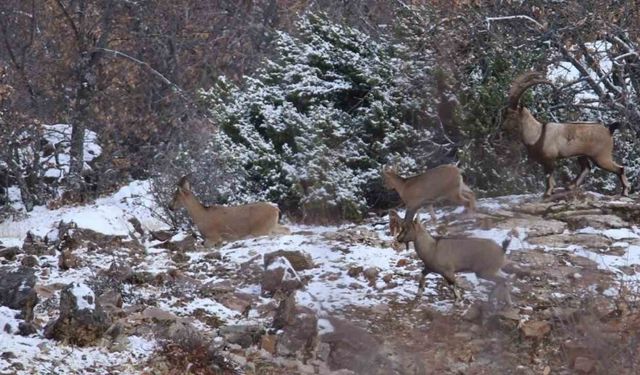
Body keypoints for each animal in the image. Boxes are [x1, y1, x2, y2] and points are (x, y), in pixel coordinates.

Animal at [504, 71, 632, 198]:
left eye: (513, 115)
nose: (504, 127)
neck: (537, 133)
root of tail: (608, 130)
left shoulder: (550, 159)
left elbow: (548, 175)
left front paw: (548, 192)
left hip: (601, 156)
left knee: (619, 168)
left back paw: (624, 192)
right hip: (583, 155)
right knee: (586, 167)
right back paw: (570, 186)